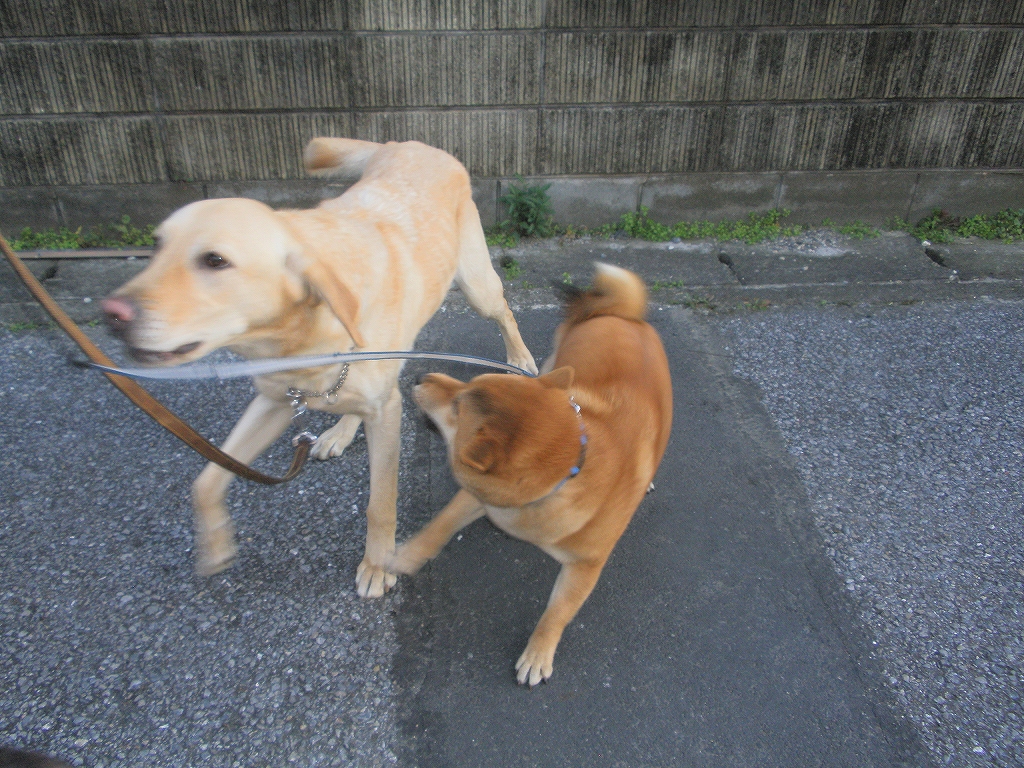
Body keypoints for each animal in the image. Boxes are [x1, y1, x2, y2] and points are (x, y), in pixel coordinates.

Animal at [100, 138, 537, 598]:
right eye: (156, 245)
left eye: (215, 260)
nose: (111, 313)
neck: (298, 341)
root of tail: (410, 143)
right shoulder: (275, 400)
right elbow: (205, 482)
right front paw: (216, 544)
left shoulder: (386, 413)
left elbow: (380, 504)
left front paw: (377, 565)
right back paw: (340, 431)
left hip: (475, 285)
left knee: (504, 310)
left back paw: (519, 358)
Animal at [388, 263, 672, 685]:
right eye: (466, 386)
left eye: (458, 407)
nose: (421, 378)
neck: (566, 475)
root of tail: (622, 316)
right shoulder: (482, 495)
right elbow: (438, 527)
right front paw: (405, 556)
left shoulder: (585, 566)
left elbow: (558, 613)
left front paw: (538, 653)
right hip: (557, 364)